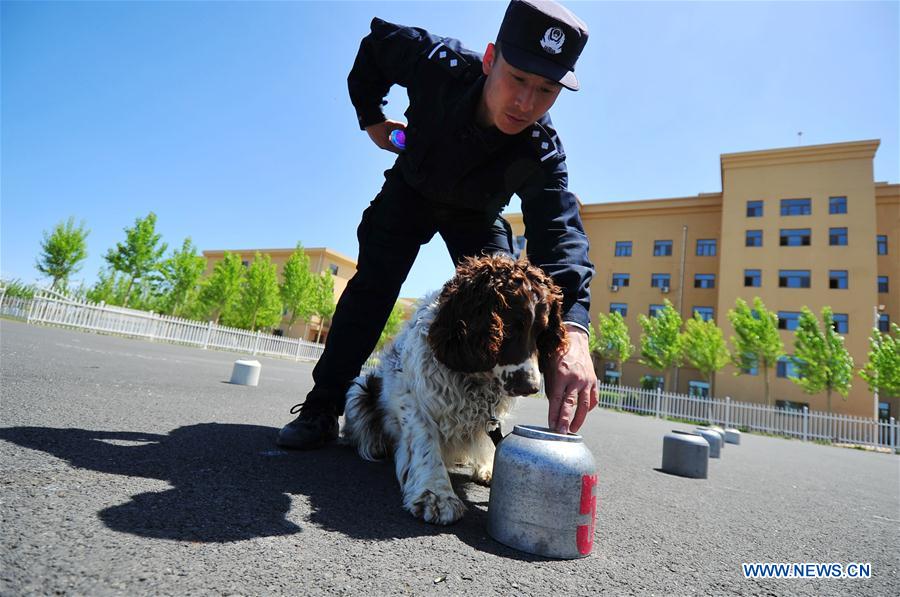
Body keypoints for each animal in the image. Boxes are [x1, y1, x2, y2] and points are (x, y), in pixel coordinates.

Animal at [342, 254, 568, 524]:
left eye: (542, 332)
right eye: (511, 327)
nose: (531, 386)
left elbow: (487, 437)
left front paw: (487, 467)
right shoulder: (413, 400)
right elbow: (426, 444)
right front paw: (436, 494)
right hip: (360, 390)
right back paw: (374, 444)